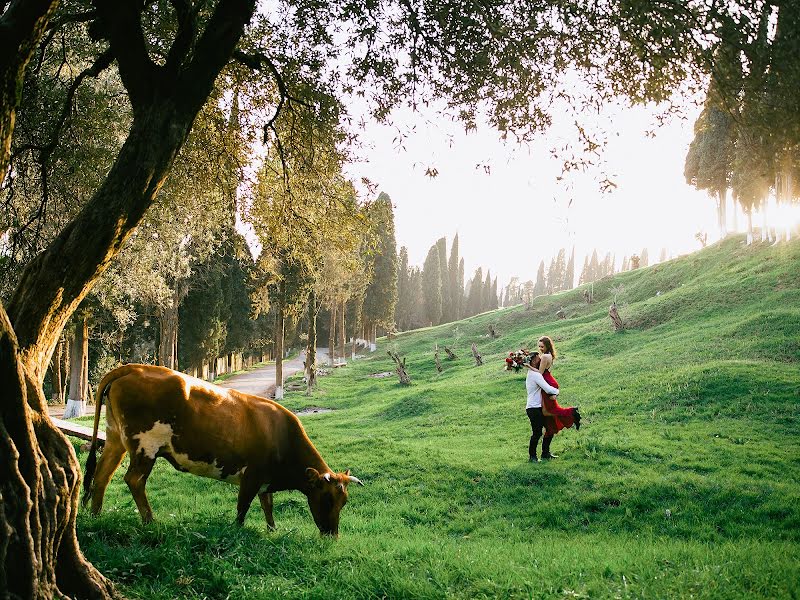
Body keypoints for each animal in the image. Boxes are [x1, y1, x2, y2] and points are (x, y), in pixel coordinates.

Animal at [81, 364, 362, 536]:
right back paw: (150, 521)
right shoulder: (251, 476)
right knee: (134, 480)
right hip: (145, 446)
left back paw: (96, 517)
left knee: (102, 476)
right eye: (327, 498)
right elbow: (243, 507)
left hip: (115, 440)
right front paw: (237, 530)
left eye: (344, 501)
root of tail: (133, 368)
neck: (282, 433)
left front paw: (272, 531)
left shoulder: (264, 480)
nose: (333, 535)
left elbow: (267, 506)